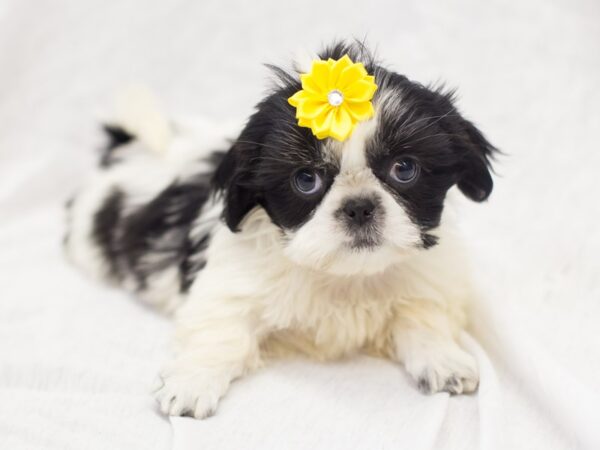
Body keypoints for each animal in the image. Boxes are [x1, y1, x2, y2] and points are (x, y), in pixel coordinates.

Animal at [64, 41, 496, 418]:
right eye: (306, 180)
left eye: (404, 169)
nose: (358, 206)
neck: (343, 275)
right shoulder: (229, 284)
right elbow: (219, 331)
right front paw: (192, 381)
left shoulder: (425, 282)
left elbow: (423, 317)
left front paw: (442, 359)